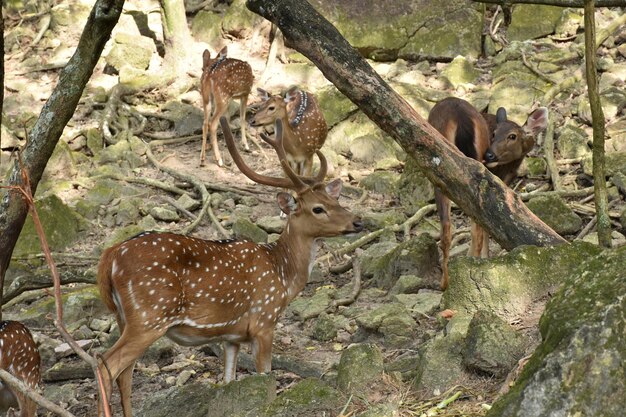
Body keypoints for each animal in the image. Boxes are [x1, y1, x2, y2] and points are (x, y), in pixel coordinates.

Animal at [95, 115, 364, 414]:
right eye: (318, 208)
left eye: (335, 199)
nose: (358, 222)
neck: (283, 276)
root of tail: (110, 256)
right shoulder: (263, 320)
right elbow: (265, 374)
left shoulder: (232, 337)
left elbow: (228, 380)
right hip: (150, 315)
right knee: (106, 366)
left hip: (123, 318)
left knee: (125, 375)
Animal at [428, 96, 544, 290]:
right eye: (494, 133)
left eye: (512, 136)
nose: (490, 155)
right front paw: (485, 259)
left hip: (440, 161)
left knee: (449, 228)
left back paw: (446, 282)